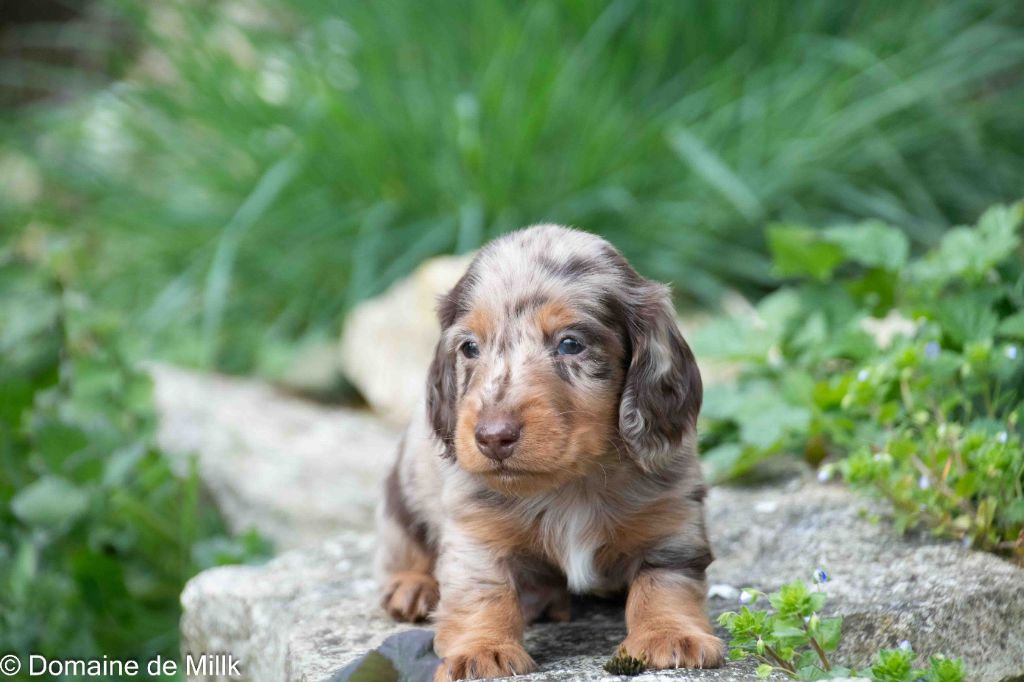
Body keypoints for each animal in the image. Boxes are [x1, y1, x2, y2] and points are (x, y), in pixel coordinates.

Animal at [374, 224, 723, 680]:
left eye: (570, 344)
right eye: (469, 347)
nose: (492, 437)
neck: (571, 484)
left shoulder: (671, 516)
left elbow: (664, 582)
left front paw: (670, 635)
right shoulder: (475, 529)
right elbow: (482, 590)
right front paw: (482, 650)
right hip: (402, 488)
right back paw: (412, 586)